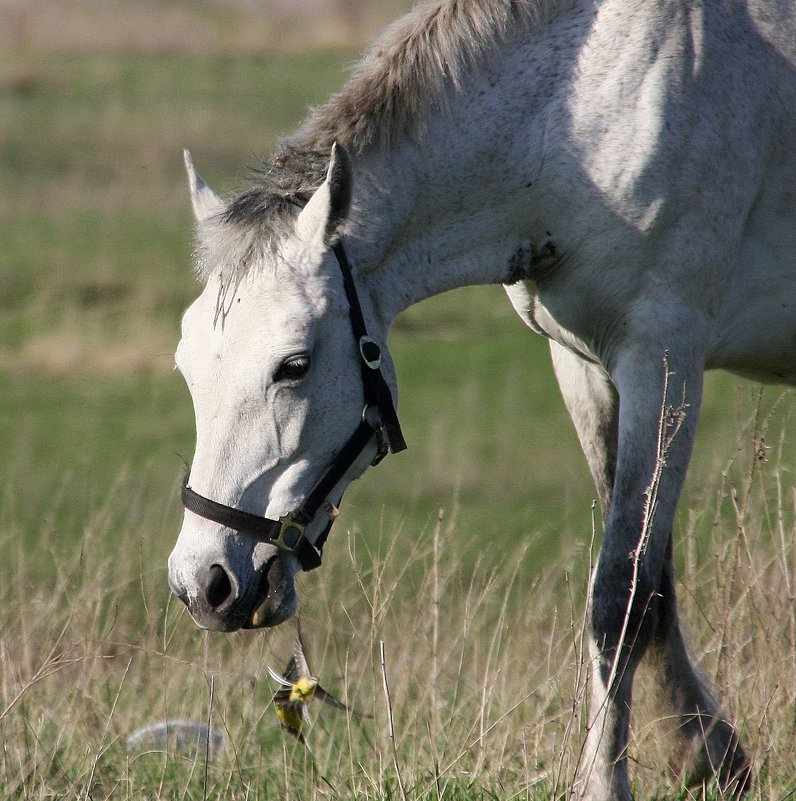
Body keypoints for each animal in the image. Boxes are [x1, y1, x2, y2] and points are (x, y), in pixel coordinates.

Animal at [168, 3, 796, 796]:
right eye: (188, 367)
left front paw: (606, 778)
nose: (202, 583)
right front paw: (708, 754)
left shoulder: (664, 361)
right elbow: (654, 587)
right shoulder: (587, 367)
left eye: (294, 365)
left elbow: (619, 593)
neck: (585, 112)